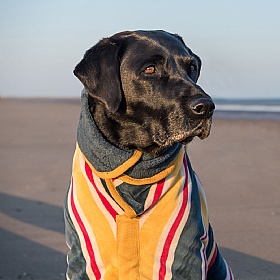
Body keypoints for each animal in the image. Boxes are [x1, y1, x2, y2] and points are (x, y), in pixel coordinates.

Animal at [64, 29, 233, 278]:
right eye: (150, 69)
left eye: (191, 67)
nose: (206, 107)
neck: (136, 162)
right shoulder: (85, 258)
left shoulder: (181, 254)